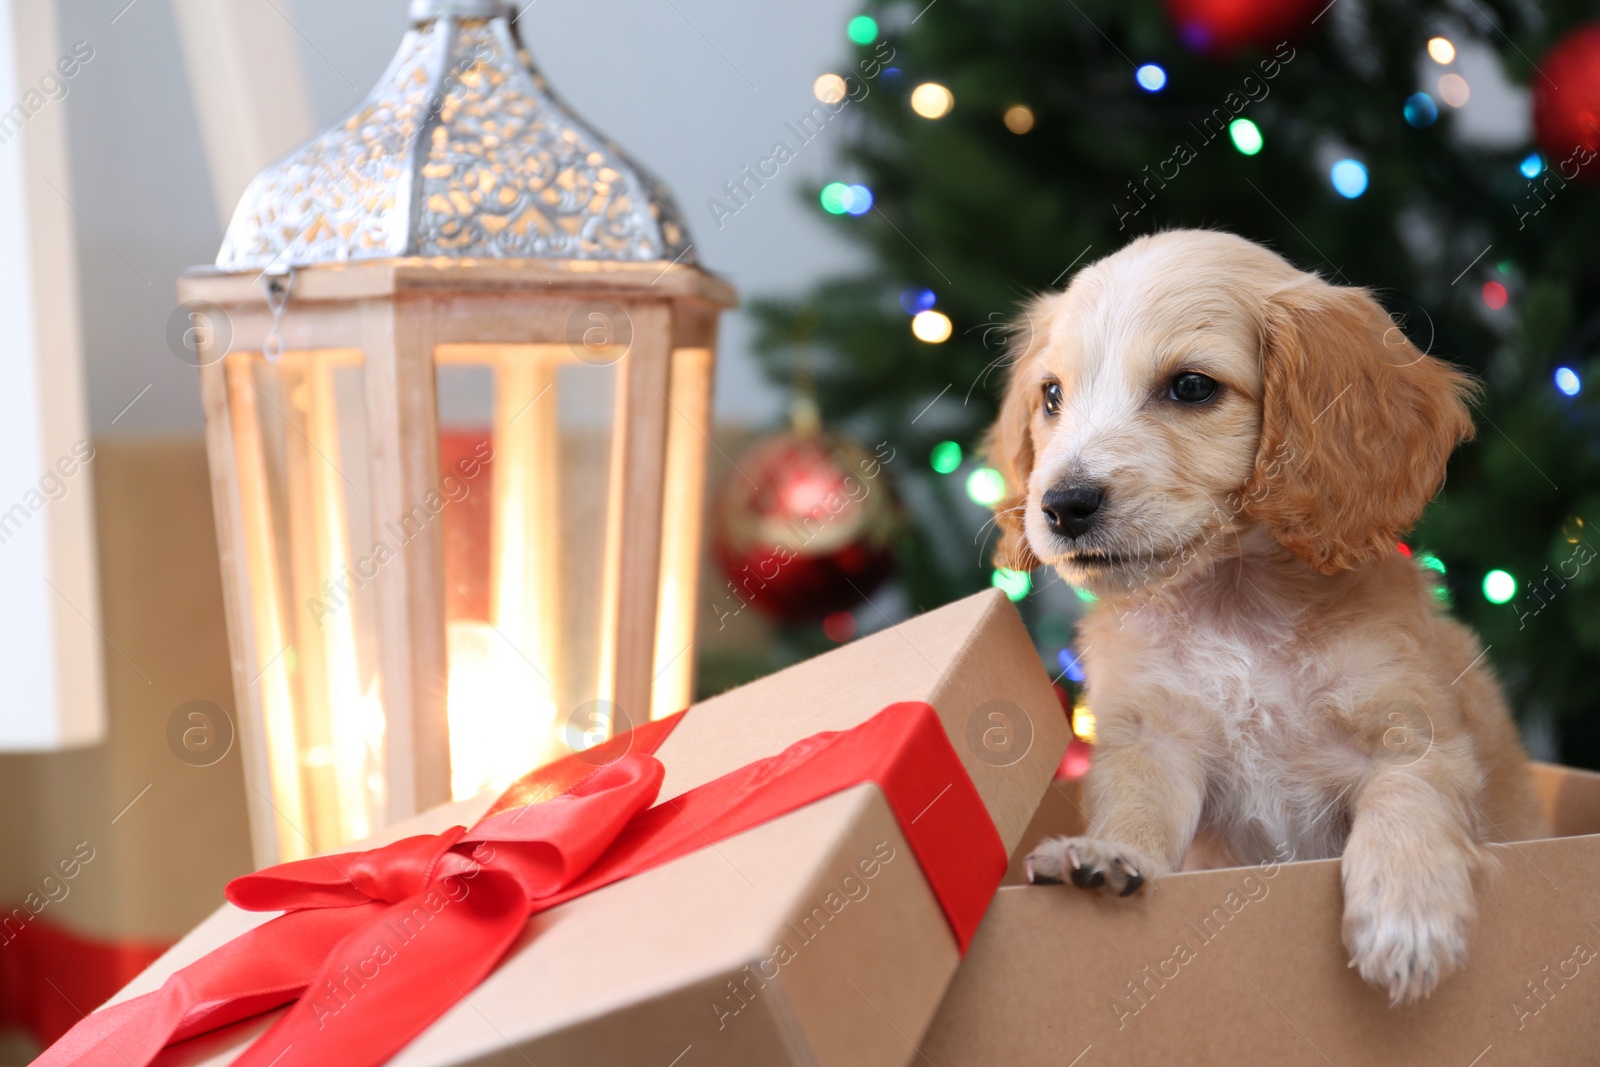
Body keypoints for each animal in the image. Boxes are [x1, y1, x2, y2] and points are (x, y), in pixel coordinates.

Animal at [985, 230, 1548, 1004]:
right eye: (1051, 395)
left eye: (1191, 387)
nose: (1063, 506)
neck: (1235, 601)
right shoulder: (1152, 739)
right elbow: (1136, 805)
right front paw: (1107, 853)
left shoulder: (1412, 732)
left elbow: (1406, 802)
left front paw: (1406, 916)